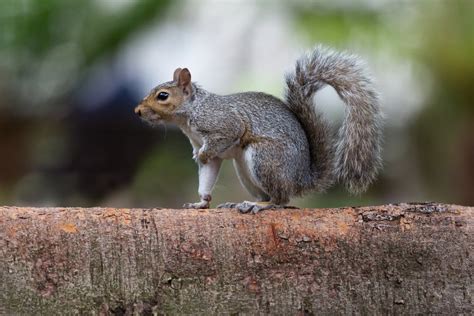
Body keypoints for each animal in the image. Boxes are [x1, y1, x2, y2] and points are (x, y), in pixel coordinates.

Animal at [133, 45, 382, 214]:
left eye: (163, 96)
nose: (137, 111)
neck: (190, 114)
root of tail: (301, 179)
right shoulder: (208, 151)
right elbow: (207, 174)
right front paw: (200, 202)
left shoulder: (222, 123)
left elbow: (226, 135)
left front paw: (201, 156)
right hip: (245, 169)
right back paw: (240, 202)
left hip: (264, 158)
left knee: (280, 199)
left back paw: (259, 205)